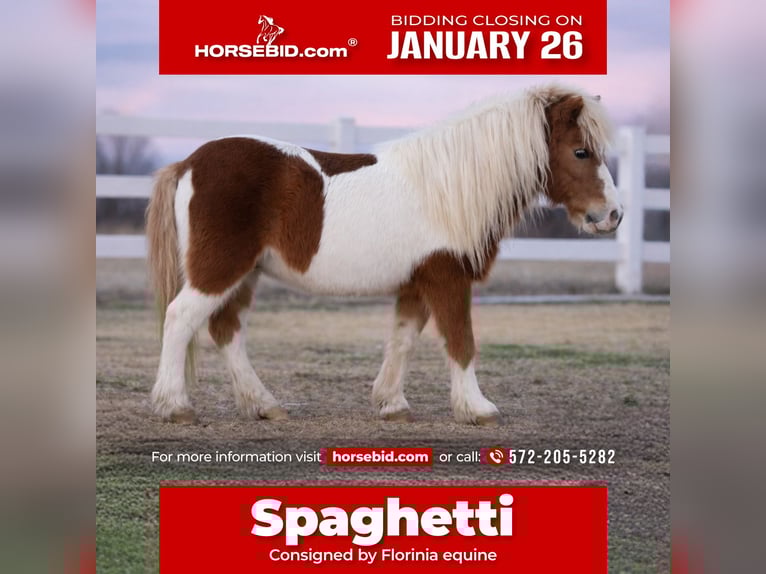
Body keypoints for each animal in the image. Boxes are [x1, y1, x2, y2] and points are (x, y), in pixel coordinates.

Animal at [146, 84, 621, 426]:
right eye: (580, 151)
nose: (613, 215)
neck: (449, 186)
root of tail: (187, 163)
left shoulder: (417, 283)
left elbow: (403, 339)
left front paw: (392, 404)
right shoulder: (448, 278)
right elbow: (461, 342)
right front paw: (477, 408)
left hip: (246, 273)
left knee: (226, 329)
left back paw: (264, 404)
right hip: (220, 267)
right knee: (181, 318)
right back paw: (175, 406)